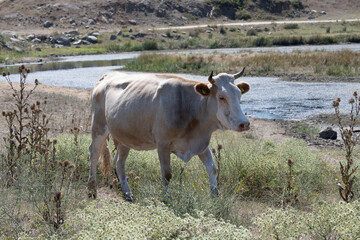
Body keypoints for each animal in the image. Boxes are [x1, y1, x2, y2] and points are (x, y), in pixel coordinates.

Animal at [87, 69, 250, 201]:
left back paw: (127, 194)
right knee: (94, 154)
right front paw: (166, 199)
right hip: (98, 127)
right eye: (221, 97)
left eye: (239, 95)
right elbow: (167, 174)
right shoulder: (163, 144)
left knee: (119, 163)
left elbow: (213, 169)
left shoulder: (201, 143)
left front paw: (215, 196)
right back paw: (91, 190)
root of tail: (108, 75)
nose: (244, 123)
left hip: (125, 137)